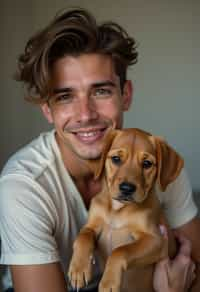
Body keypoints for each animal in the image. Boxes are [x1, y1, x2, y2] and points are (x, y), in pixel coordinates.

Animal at [68, 128, 184, 292]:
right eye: (116, 159)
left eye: (147, 163)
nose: (127, 188)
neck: (117, 210)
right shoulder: (92, 225)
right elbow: (82, 236)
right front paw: (79, 269)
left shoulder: (155, 240)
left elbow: (120, 251)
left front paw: (108, 283)